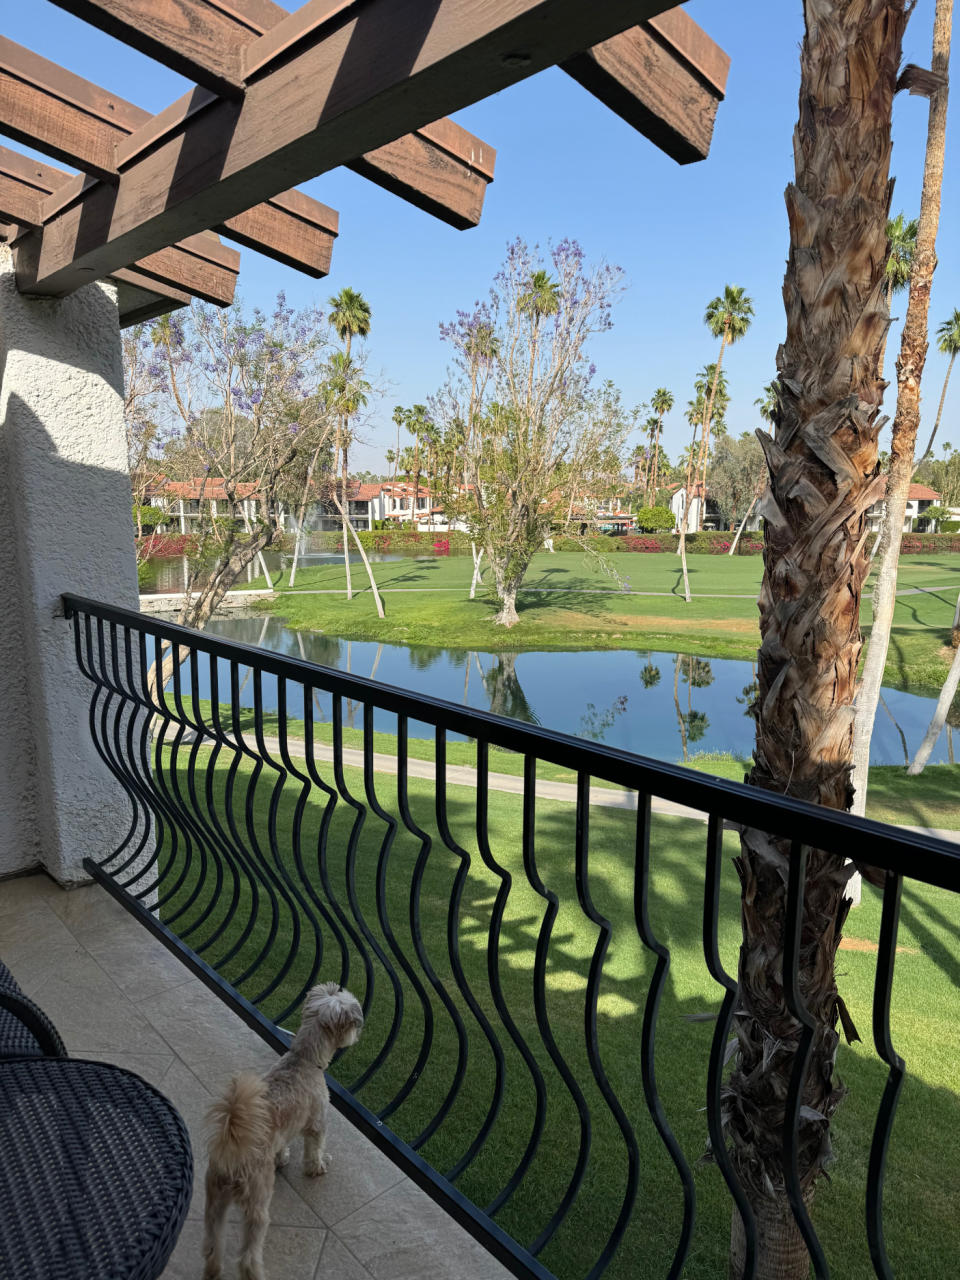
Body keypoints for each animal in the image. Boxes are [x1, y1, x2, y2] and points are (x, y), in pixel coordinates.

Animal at [202, 983, 363, 1274]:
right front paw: (318, 1166)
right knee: (248, 1255)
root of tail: (233, 1151)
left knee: (212, 1246)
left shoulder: (282, 1131)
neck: (304, 1058)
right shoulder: (317, 1122)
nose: (359, 1028)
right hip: (257, 1200)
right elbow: (315, 1149)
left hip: (215, 1200)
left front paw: (283, 1158)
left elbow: (282, 1146)